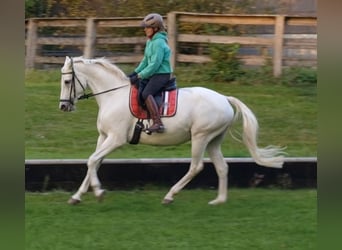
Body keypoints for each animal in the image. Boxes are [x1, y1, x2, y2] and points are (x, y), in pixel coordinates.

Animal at [58, 55, 286, 204]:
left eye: (67, 81)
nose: (63, 106)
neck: (113, 95)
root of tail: (224, 98)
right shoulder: (103, 137)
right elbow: (93, 162)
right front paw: (77, 196)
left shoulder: (116, 138)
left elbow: (92, 161)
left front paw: (98, 192)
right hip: (213, 140)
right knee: (222, 167)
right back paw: (219, 200)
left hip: (200, 137)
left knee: (196, 166)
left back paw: (170, 195)